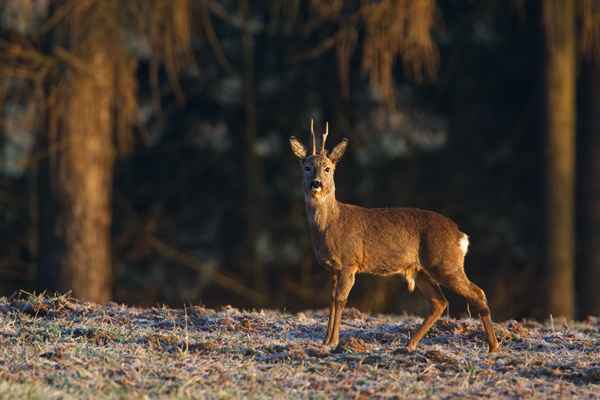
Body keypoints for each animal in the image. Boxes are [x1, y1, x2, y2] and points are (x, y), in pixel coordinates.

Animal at [290, 122, 502, 354]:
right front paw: (325, 341)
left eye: (327, 168)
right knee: (439, 302)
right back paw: (409, 344)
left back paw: (493, 347)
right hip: (421, 269)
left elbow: (340, 300)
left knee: (478, 292)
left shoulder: (349, 262)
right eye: (307, 167)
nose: (316, 183)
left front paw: (334, 341)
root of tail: (461, 236)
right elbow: (330, 300)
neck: (330, 225)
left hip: (445, 263)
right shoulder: (333, 268)